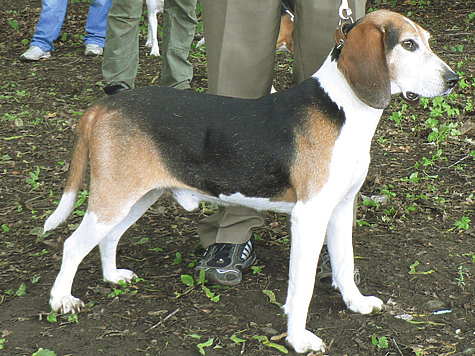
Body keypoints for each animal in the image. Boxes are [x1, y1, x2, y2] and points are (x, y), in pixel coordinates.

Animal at [43, 10, 458, 354]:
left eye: (427, 40)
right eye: (408, 44)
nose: (454, 80)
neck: (343, 108)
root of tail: (105, 105)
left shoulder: (341, 208)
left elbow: (343, 262)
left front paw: (355, 302)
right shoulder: (309, 217)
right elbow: (302, 287)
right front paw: (298, 339)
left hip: (138, 196)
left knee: (108, 237)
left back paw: (113, 277)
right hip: (115, 197)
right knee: (72, 245)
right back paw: (61, 300)